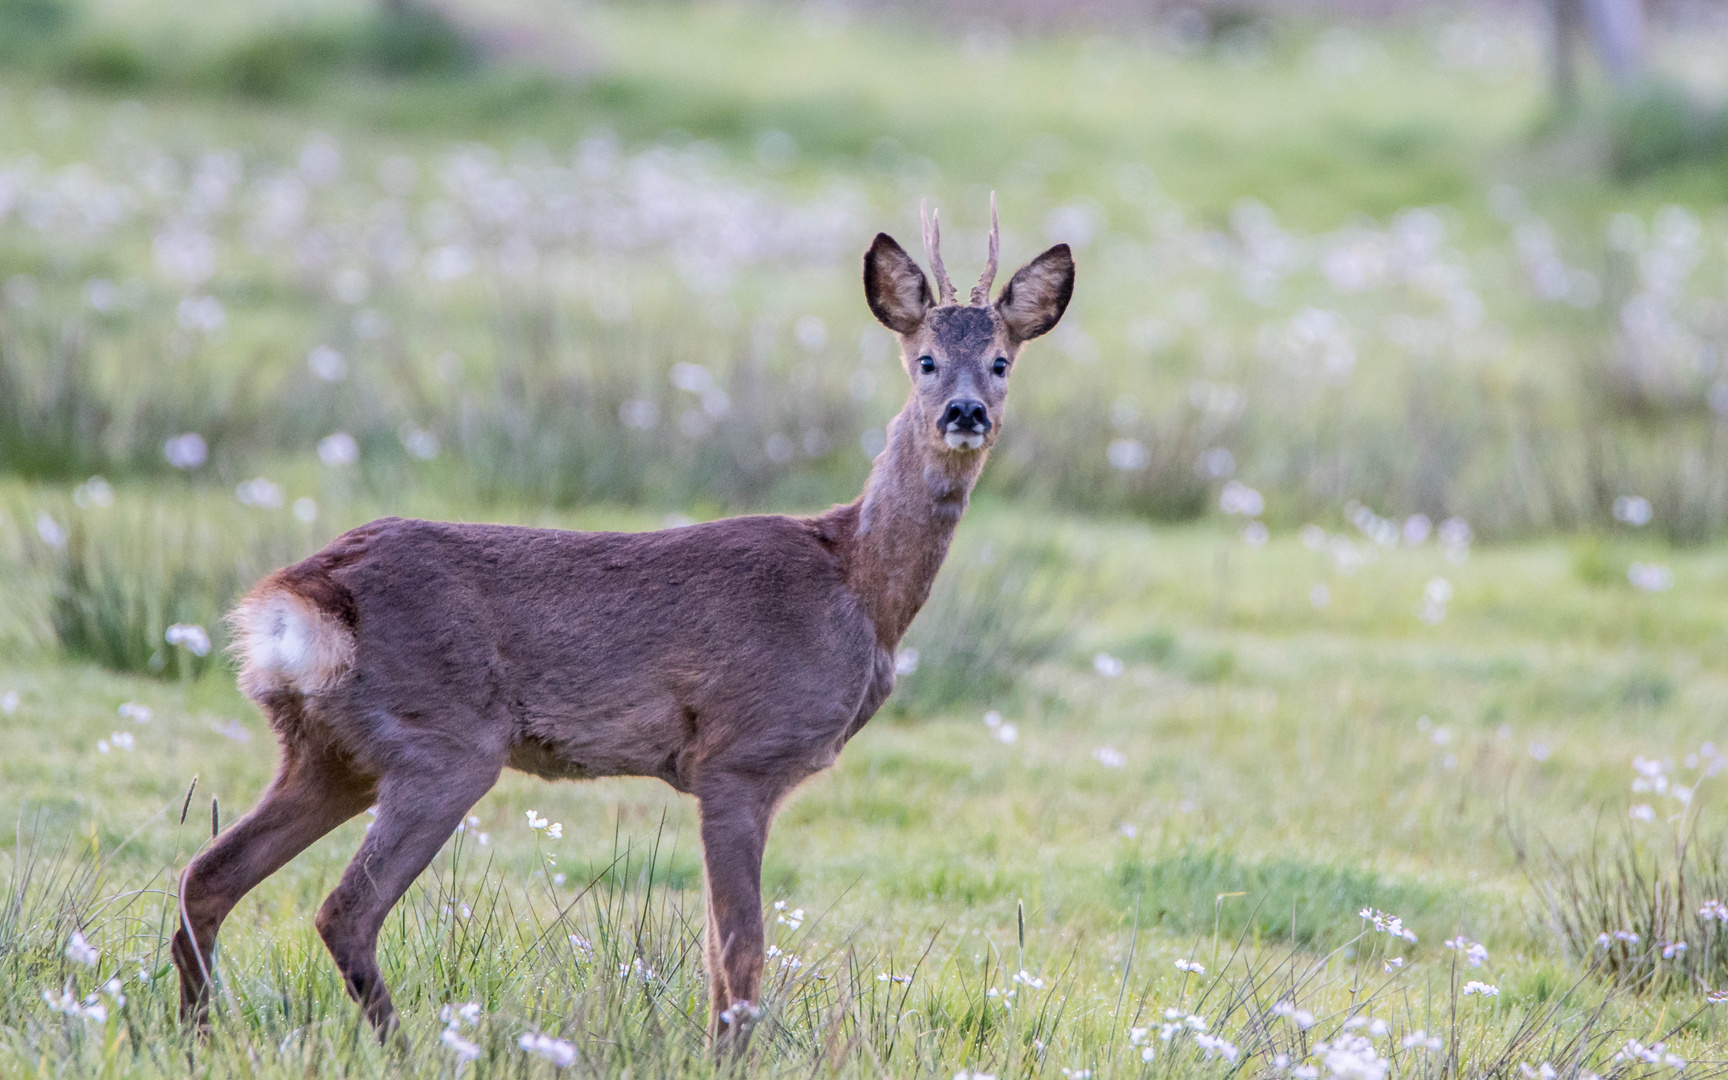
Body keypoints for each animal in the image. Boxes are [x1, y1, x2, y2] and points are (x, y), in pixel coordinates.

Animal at [171, 200, 1064, 1043]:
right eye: (924, 360)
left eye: (1001, 361)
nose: (964, 413)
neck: (858, 585)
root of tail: (296, 597)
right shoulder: (741, 755)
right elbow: (740, 952)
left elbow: (717, 957)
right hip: (442, 742)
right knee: (342, 910)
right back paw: (405, 1049)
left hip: (330, 752)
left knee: (206, 877)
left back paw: (200, 1039)